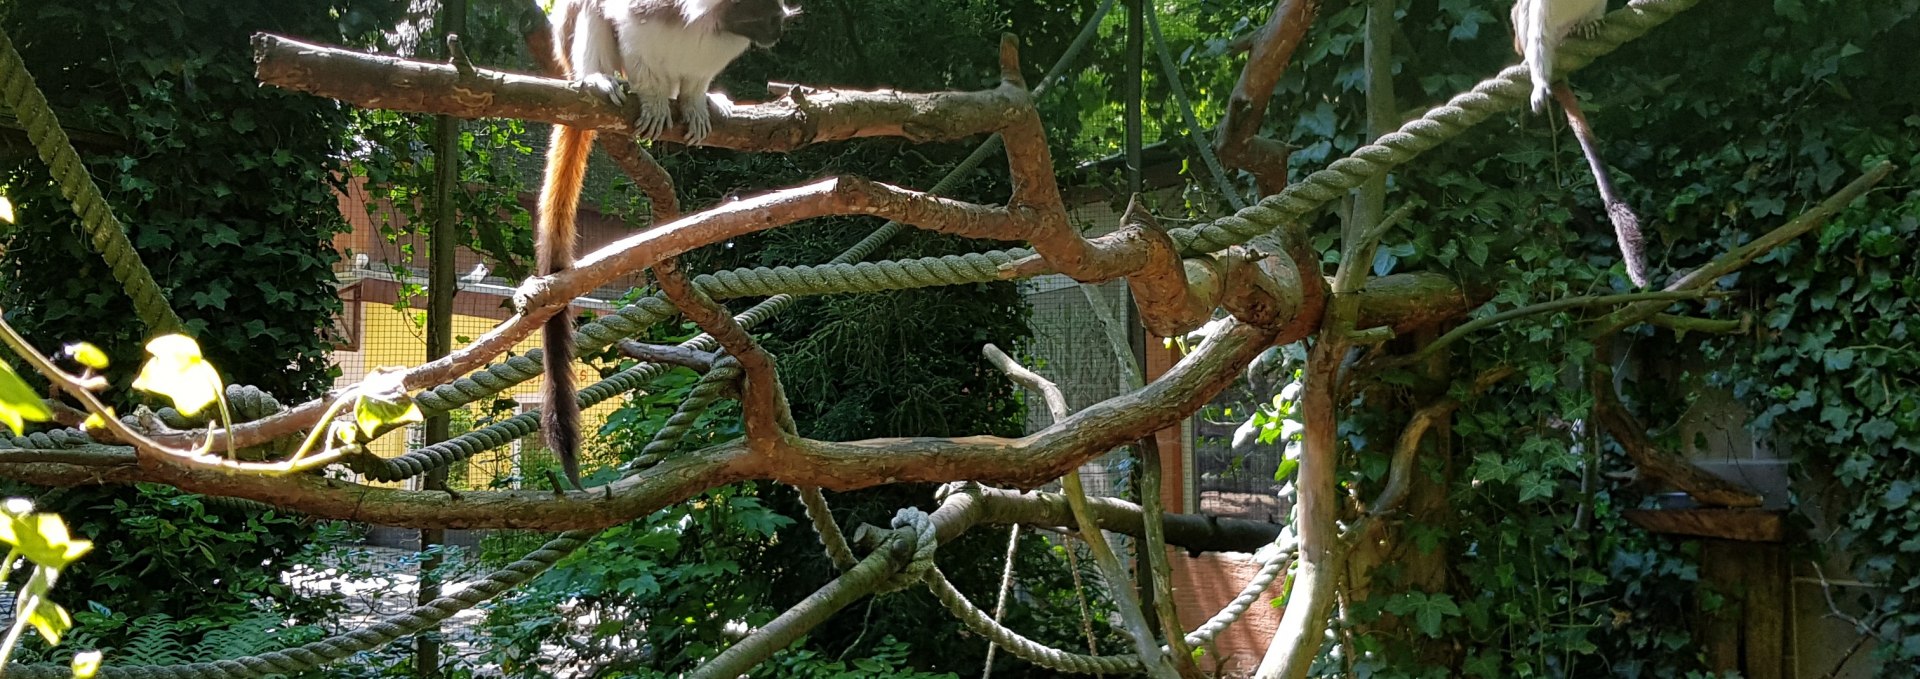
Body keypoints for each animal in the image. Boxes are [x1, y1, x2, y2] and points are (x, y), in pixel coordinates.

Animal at [537, 0, 791, 487]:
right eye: (765, 16)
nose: (778, 30)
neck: (713, 26)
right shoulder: (645, 23)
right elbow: (628, 36)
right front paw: (653, 98)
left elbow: (694, 81)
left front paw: (695, 100)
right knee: (586, 14)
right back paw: (596, 79)